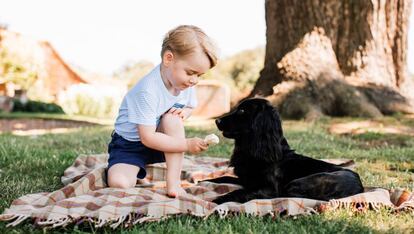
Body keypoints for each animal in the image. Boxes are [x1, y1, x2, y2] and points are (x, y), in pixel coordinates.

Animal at [207, 98, 362, 204]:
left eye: (242, 111)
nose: (217, 121)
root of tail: (360, 188)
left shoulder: (268, 188)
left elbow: (240, 191)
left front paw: (216, 200)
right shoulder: (245, 179)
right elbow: (222, 178)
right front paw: (205, 181)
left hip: (300, 182)